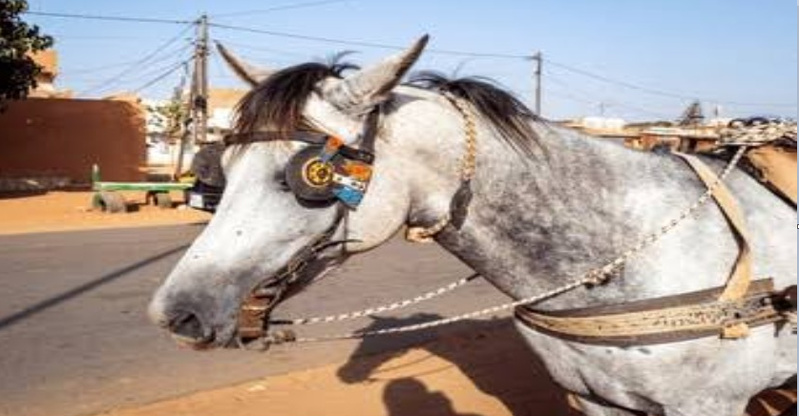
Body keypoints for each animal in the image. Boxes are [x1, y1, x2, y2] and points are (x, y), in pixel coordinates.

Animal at [148, 35, 796, 416]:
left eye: (308, 175)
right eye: (223, 163)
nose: (175, 313)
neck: (623, 257)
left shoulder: (708, 406)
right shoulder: (598, 403)